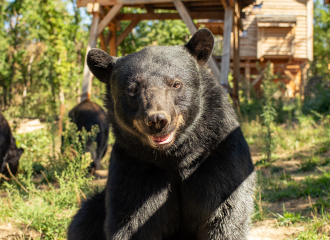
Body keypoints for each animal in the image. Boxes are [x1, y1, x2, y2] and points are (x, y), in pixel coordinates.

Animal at [67, 29, 255, 239]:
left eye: (176, 84)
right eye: (133, 89)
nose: (157, 121)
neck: (174, 155)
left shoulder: (219, 154)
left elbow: (224, 212)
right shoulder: (136, 165)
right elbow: (132, 219)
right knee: (84, 220)